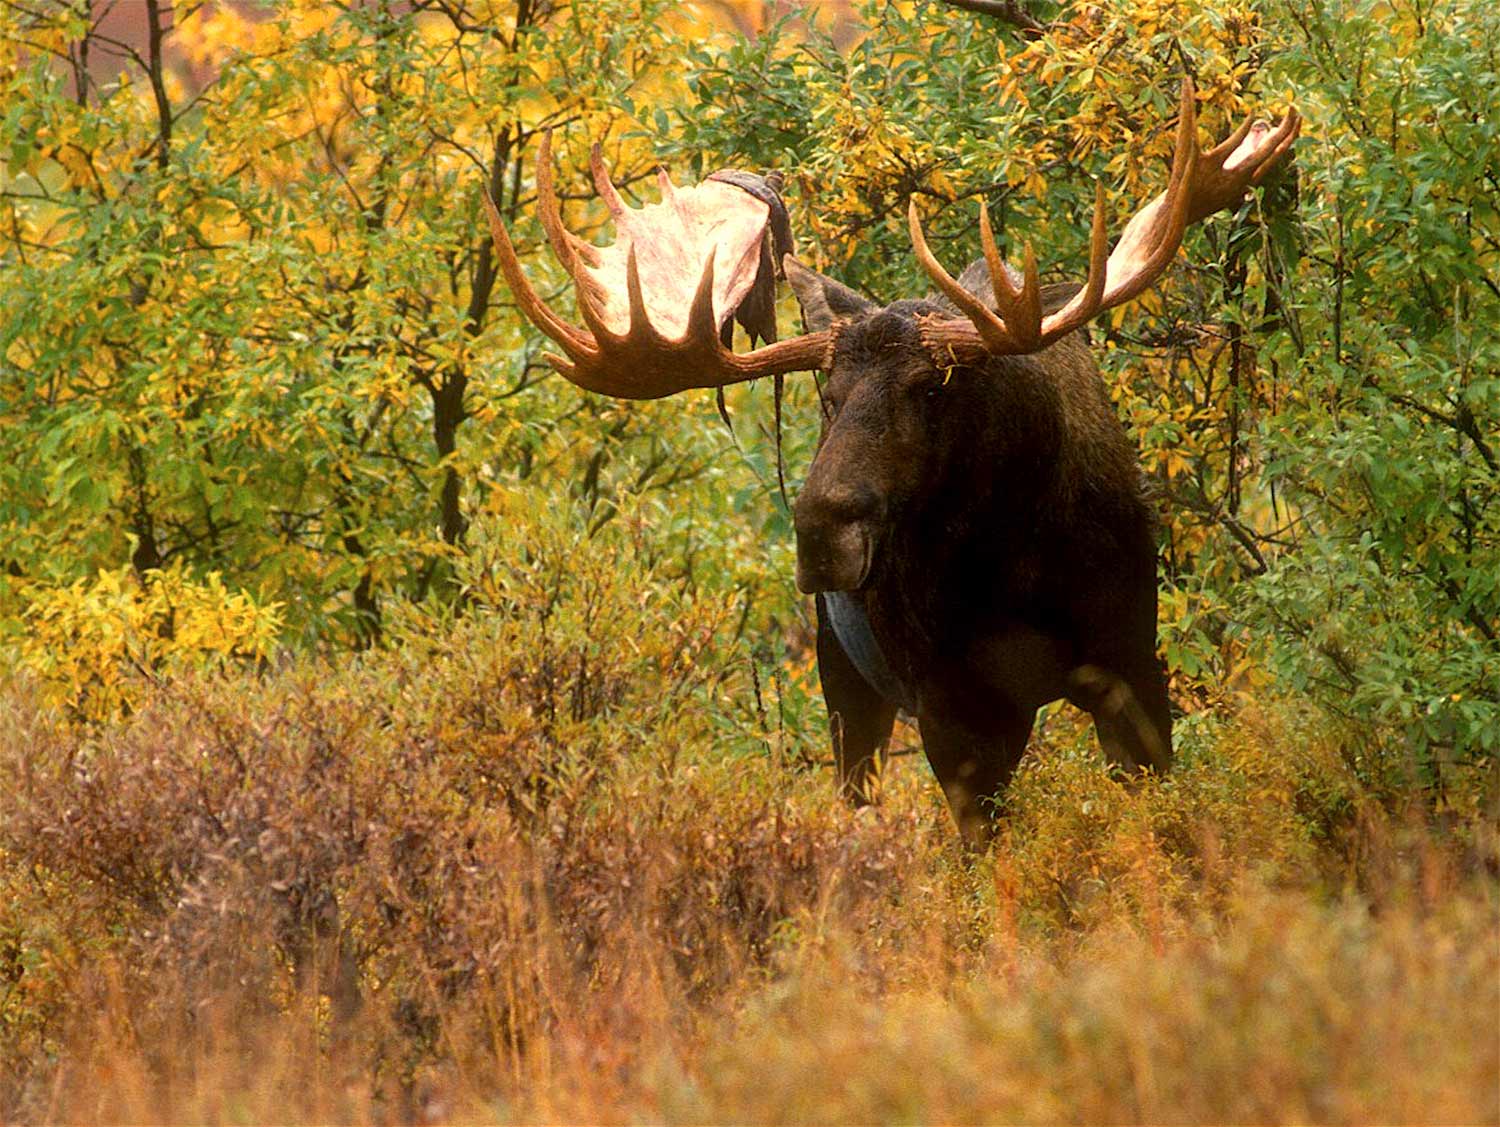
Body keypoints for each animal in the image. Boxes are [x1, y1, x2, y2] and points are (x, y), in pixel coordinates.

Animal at [486, 81, 1296, 846]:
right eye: (827, 397)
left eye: (932, 388)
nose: (819, 533)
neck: (1018, 559)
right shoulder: (951, 708)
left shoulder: (1133, 662)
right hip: (840, 672)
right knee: (856, 788)